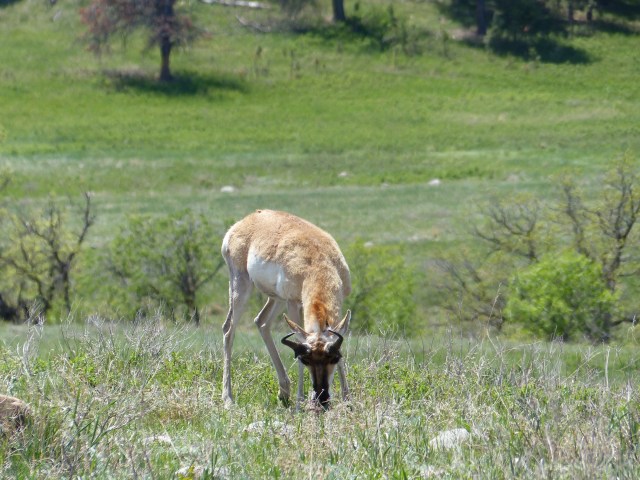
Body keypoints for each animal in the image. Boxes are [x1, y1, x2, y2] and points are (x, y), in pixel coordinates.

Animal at [221, 209, 351, 409]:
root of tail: (245, 221)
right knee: (229, 329)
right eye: (305, 359)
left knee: (261, 322)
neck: (317, 260)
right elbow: (298, 340)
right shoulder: (293, 303)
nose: (321, 398)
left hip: (276, 298)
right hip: (241, 288)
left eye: (334, 357)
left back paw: (284, 391)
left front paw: (347, 401)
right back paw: (228, 398)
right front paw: (301, 401)